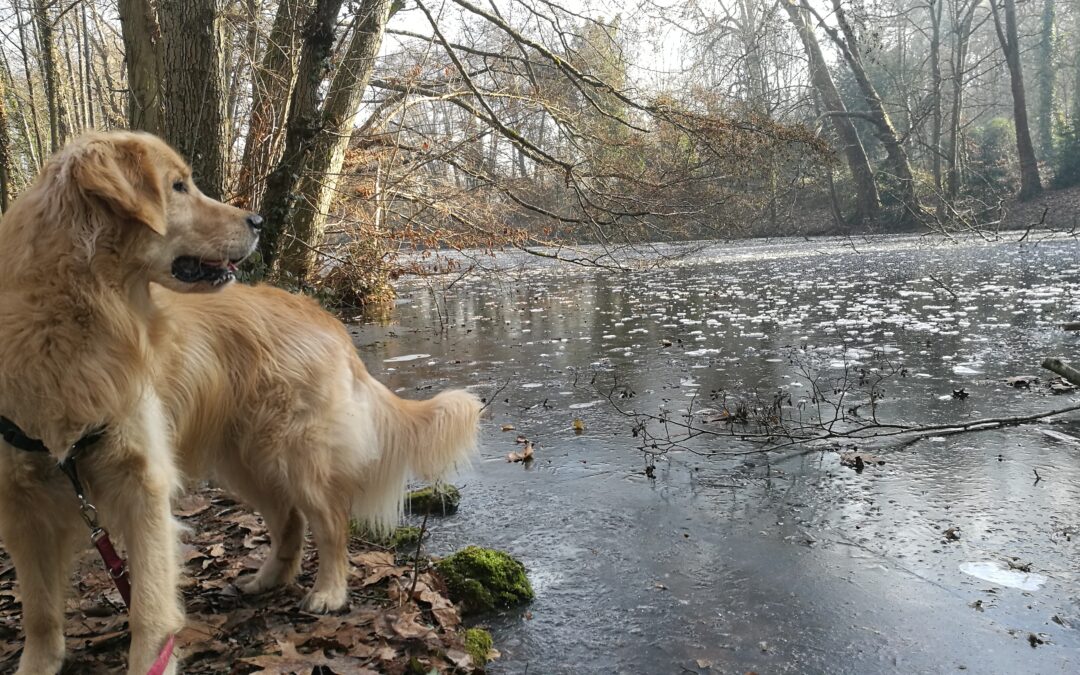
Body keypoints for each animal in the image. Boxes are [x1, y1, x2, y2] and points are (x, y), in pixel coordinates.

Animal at [0, 132, 477, 673]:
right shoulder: (21, 504)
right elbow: (39, 612)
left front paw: (151, 660)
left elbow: (147, 604)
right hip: (245, 460)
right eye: (178, 186)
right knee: (290, 521)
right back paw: (269, 579)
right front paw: (37, 664)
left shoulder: (142, 484)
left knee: (330, 520)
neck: (81, 315)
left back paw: (329, 591)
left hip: (294, 452)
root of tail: (321, 314)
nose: (258, 221)